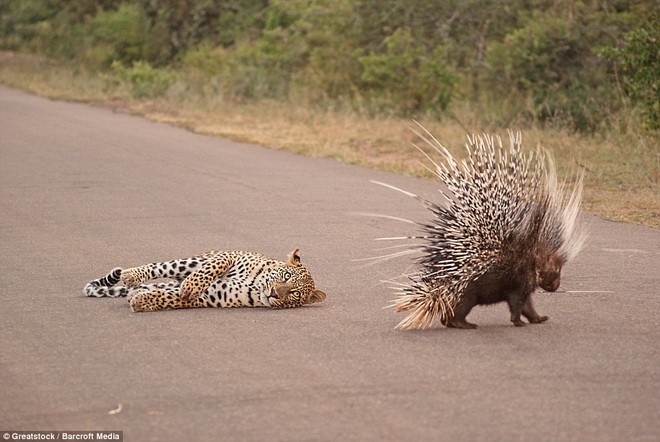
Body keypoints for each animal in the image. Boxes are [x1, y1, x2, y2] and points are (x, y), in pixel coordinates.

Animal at [84, 247, 326, 312]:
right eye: (286, 276)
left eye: (295, 293)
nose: (275, 293)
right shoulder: (230, 255)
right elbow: (210, 270)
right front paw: (192, 285)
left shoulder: (213, 296)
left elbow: (173, 298)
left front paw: (142, 301)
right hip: (191, 260)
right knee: (160, 267)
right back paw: (131, 275)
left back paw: (138, 292)